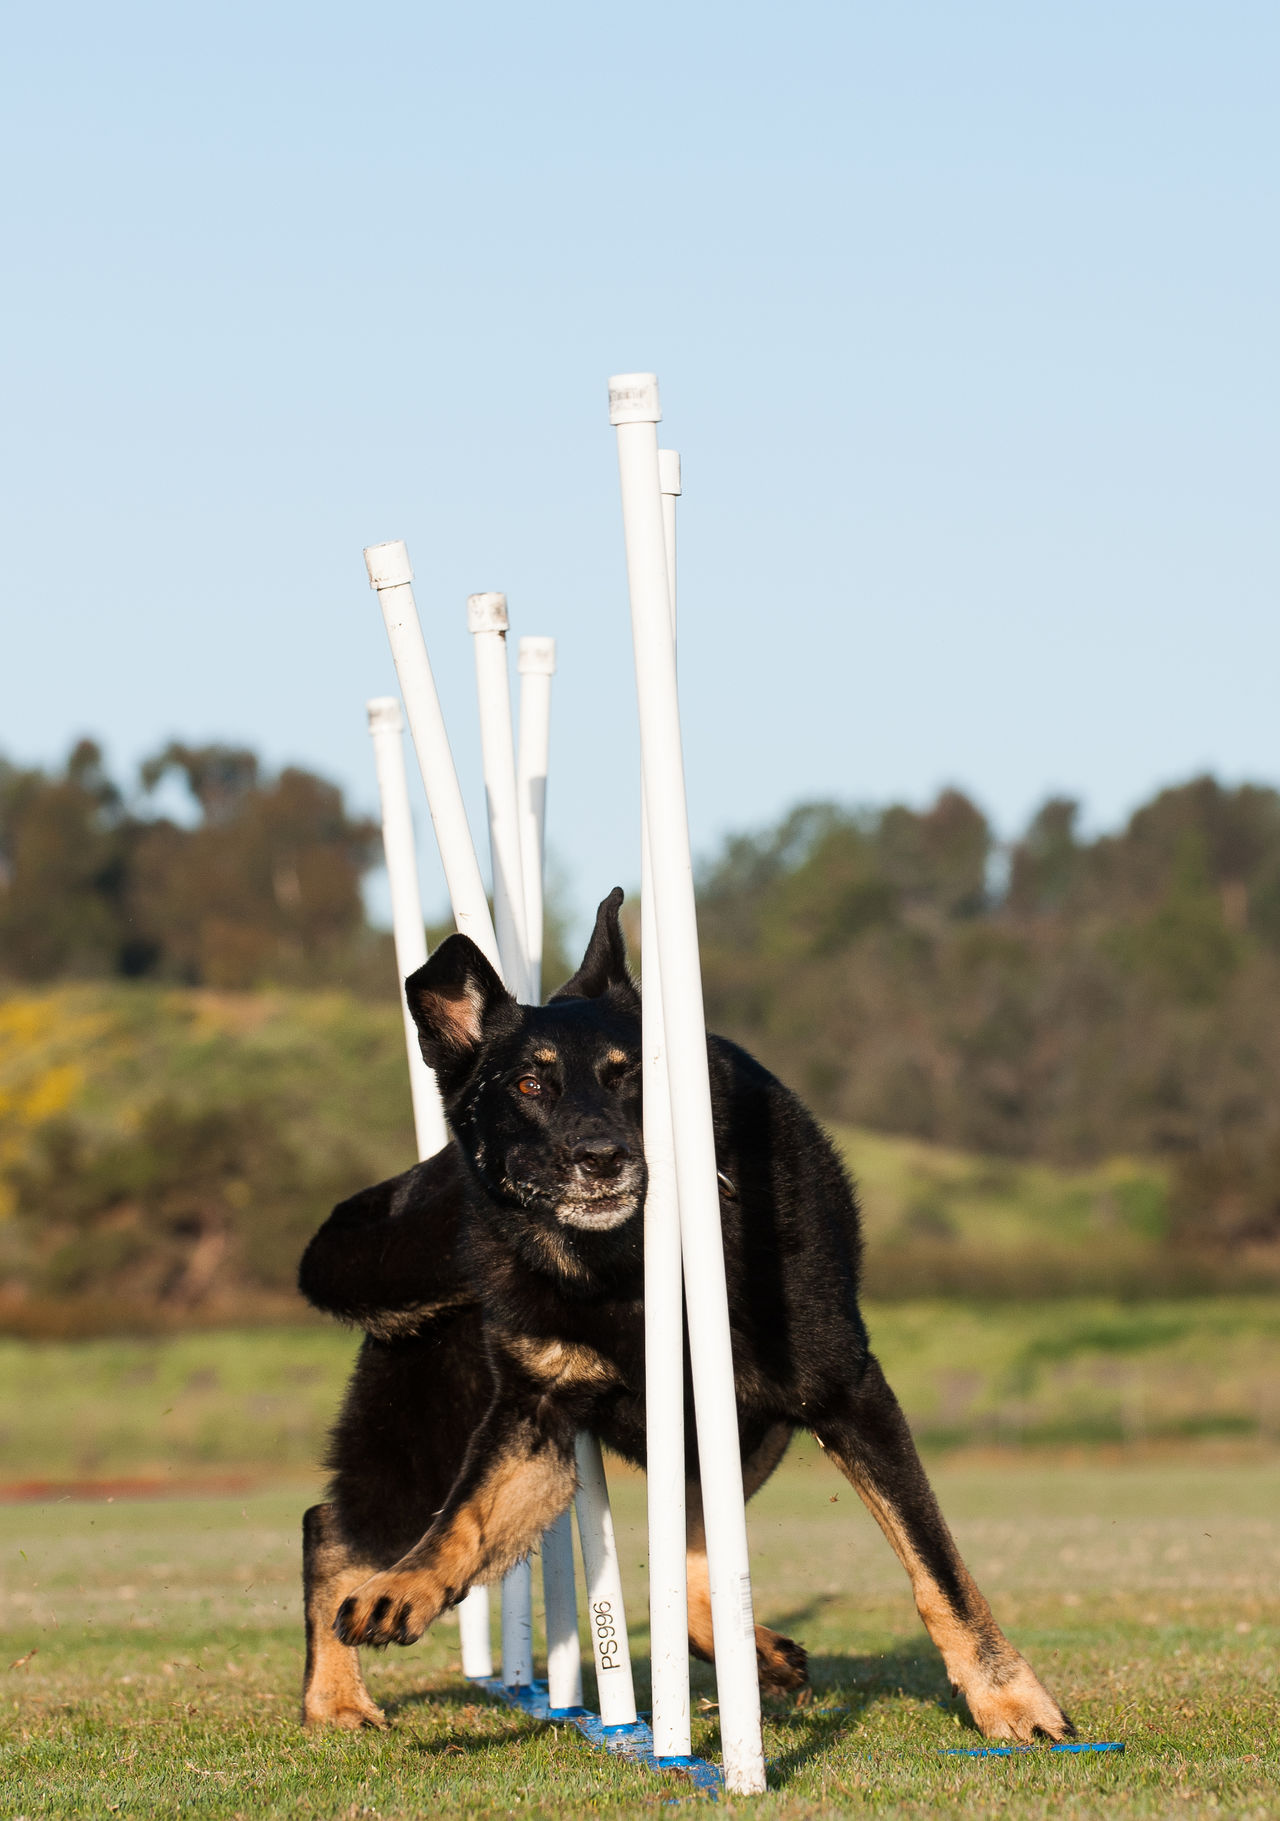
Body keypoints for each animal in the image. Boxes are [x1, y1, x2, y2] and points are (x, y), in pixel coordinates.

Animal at [300, 888, 1070, 1740]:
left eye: (630, 1078)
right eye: (530, 1086)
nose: (601, 1158)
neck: (625, 1269)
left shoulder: (846, 1395)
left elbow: (936, 1565)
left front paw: (1009, 1695)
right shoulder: (536, 1416)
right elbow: (464, 1513)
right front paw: (404, 1588)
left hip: (730, 1438)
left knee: (698, 1571)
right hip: (439, 1432)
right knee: (330, 1526)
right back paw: (334, 1695)